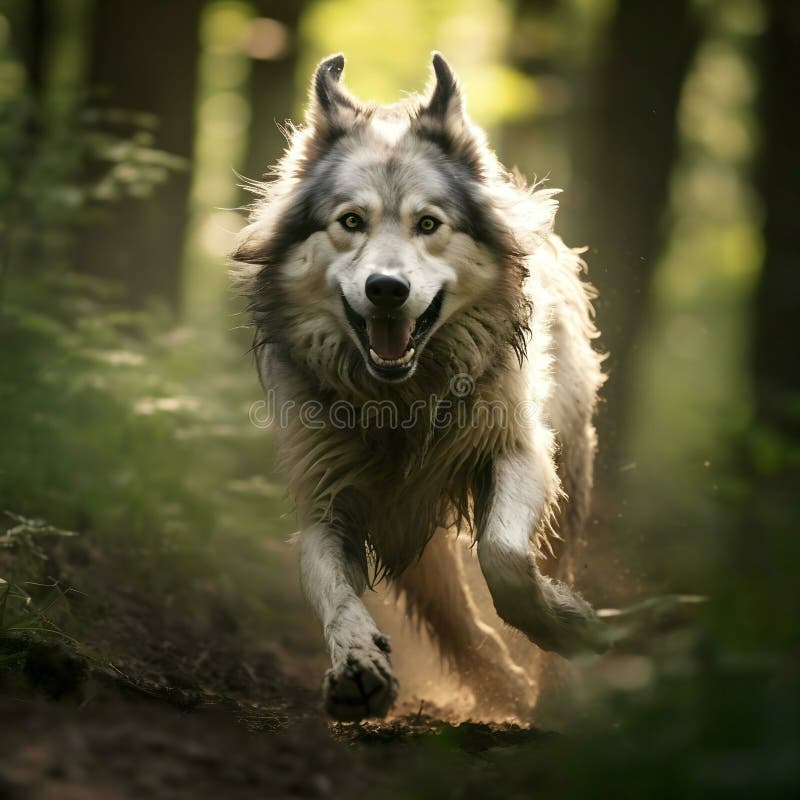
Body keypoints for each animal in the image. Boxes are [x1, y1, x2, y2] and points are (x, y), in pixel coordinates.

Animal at [233, 53, 608, 721]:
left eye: (428, 223)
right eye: (351, 222)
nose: (386, 289)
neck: (402, 403)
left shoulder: (517, 451)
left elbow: (505, 559)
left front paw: (566, 624)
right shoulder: (331, 499)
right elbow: (330, 590)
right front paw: (358, 662)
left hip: (567, 476)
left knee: (543, 561)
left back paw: (551, 683)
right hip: (413, 533)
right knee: (452, 617)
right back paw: (497, 685)